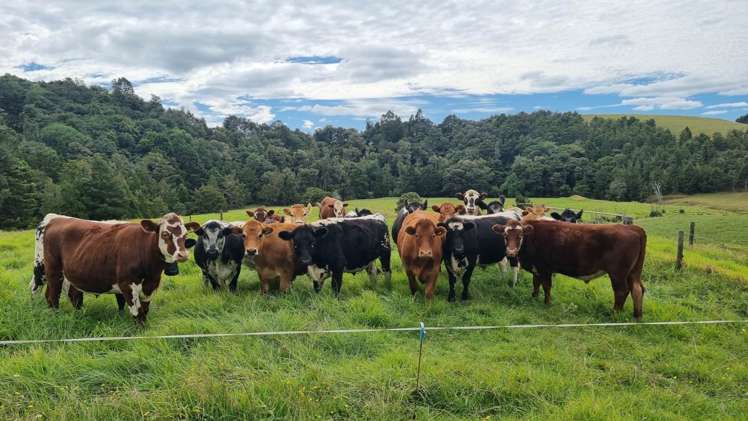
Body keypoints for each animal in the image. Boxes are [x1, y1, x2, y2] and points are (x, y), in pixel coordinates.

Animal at [29, 212, 199, 324]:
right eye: (164, 234)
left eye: (185, 235)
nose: (182, 255)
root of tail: (55, 219)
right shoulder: (127, 284)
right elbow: (137, 312)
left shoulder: (150, 285)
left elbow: (144, 309)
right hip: (51, 271)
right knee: (51, 296)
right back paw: (55, 316)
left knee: (67, 295)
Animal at [494, 220, 644, 318]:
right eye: (505, 236)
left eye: (520, 236)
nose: (511, 252)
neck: (532, 238)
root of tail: (634, 228)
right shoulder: (536, 268)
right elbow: (536, 284)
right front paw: (534, 298)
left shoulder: (545, 269)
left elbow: (546, 286)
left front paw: (547, 303)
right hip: (633, 273)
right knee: (637, 289)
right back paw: (637, 315)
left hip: (618, 273)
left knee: (621, 291)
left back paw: (615, 313)